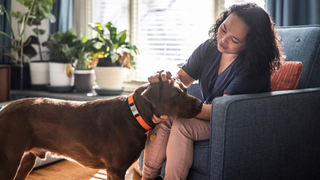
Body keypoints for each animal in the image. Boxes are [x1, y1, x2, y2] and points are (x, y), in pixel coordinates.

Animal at [0, 80, 202, 180]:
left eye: (186, 90)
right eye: (177, 94)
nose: (201, 104)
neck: (134, 115)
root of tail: (4, 110)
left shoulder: (113, 171)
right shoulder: (116, 169)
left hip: (26, 160)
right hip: (9, 161)